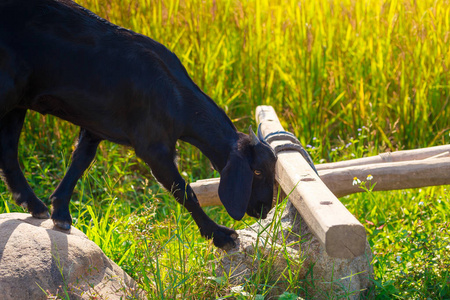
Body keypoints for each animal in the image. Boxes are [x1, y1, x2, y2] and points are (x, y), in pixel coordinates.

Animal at [0, 0, 276, 248]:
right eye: (257, 172)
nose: (264, 209)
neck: (176, 97)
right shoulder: (153, 146)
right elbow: (184, 190)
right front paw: (219, 235)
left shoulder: (95, 126)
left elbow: (80, 161)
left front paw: (60, 212)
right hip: (9, 92)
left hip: (19, 101)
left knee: (9, 152)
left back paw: (33, 203)